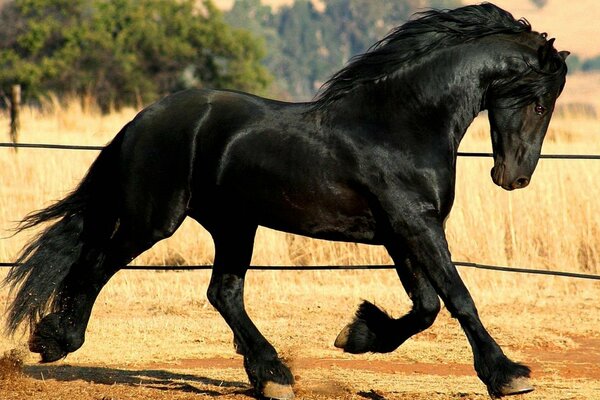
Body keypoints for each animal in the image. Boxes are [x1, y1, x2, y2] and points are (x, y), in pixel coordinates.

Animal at [4, 3, 568, 400]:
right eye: (540, 102)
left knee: (223, 293)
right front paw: (508, 375)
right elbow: (457, 296)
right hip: (155, 218)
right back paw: (54, 340)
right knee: (97, 264)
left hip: (234, 224)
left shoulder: (402, 233)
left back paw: (271, 374)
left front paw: (357, 334)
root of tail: (142, 120)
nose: (514, 178)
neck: (400, 123)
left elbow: (426, 306)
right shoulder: (415, 226)